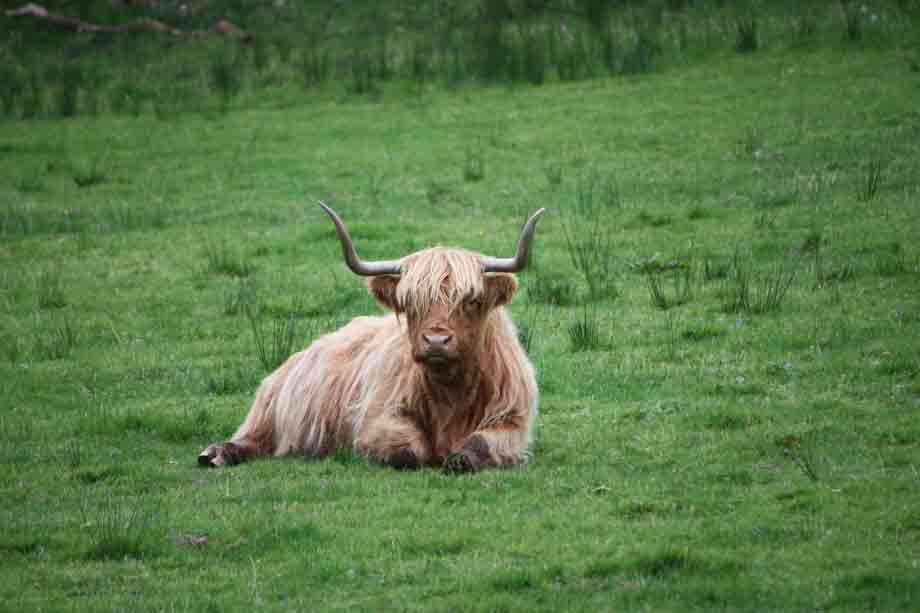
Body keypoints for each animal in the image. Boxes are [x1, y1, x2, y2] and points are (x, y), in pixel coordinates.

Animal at [197, 202, 545, 473]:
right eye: (409, 302)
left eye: (471, 300)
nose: (435, 342)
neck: (450, 392)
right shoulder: (376, 417)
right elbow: (408, 451)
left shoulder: (512, 420)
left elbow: (479, 444)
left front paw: (459, 459)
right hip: (268, 412)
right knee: (250, 438)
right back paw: (216, 453)